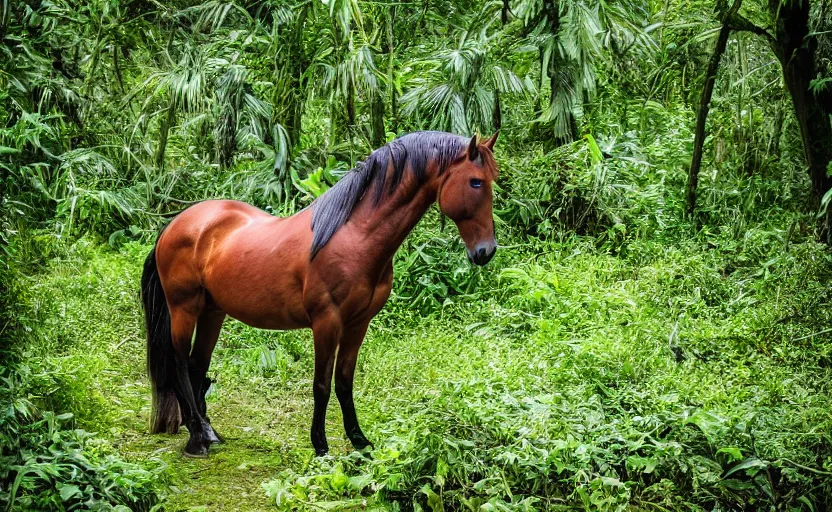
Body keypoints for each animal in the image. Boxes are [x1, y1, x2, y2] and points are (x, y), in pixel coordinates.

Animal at [140, 131, 498, 456]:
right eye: (475, 182)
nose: (486, 251)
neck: (354, 239)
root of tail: (175, 225)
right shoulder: (327, 322)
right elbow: (322, 385)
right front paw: (321, 445)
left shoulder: (358, 324)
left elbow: (344, 381)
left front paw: (358, 440)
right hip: (184, 308)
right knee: (179, 364)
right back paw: (196, 439)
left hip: (213, 311)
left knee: (196, 365)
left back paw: (207, 431)